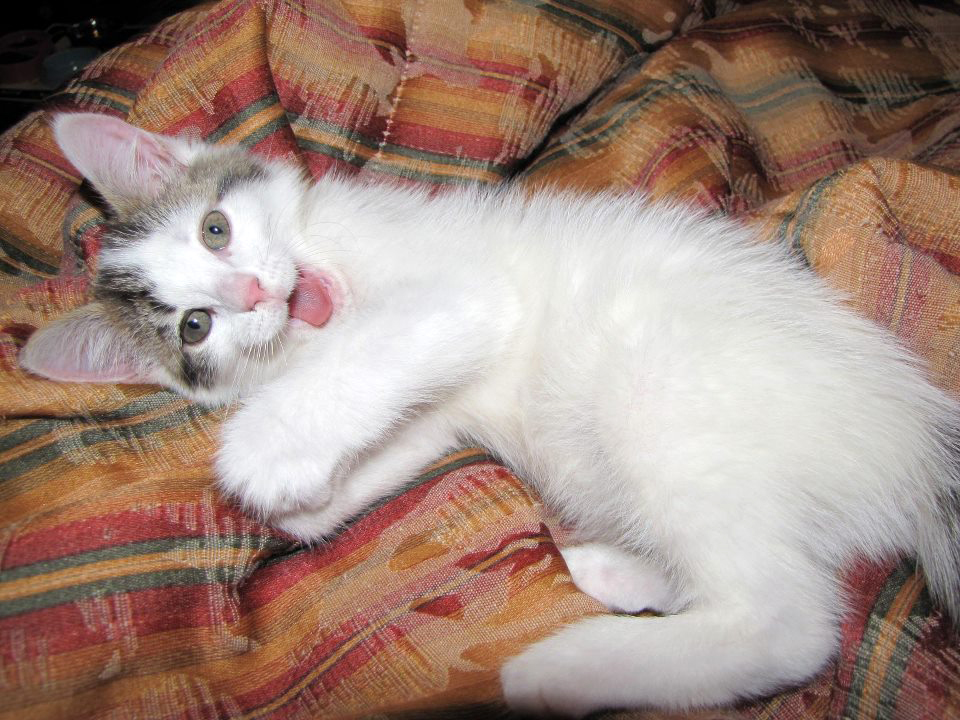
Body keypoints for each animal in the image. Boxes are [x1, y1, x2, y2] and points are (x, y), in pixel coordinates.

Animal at [20, 112, 960, 716]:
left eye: (215, 228)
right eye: (194, 327)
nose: (252, 292)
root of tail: (911, 442)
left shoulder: (460, 294)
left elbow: (396, 340)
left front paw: (260, 451)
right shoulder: (430, 419)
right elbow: (333, 498)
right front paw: (299, 490)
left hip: (665, 397)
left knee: (786, 622)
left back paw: (565, 670)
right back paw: (618, 575)